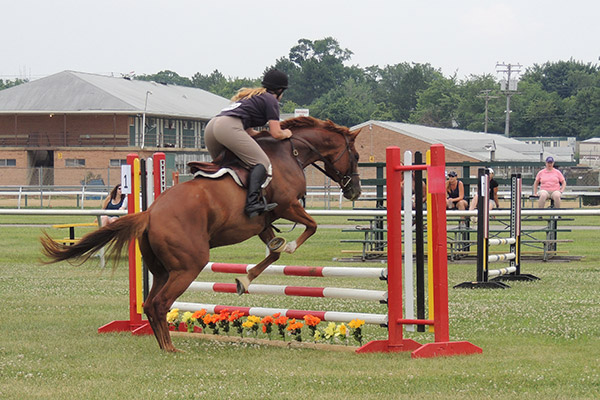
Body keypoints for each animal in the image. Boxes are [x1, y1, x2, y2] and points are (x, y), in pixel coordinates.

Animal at [43, 115, 360, 350]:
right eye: (356, 156)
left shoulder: (262, 222)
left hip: (163, 269)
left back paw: (163, 344)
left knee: (149, 303)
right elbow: (311, 227)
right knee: (160, 303)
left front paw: (244, 280)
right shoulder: (286, 205)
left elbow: (273, 251)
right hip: (188, 265)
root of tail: (149, 213)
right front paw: (291, 247)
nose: (354, 191)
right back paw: (171, 348)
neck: (288, 152)